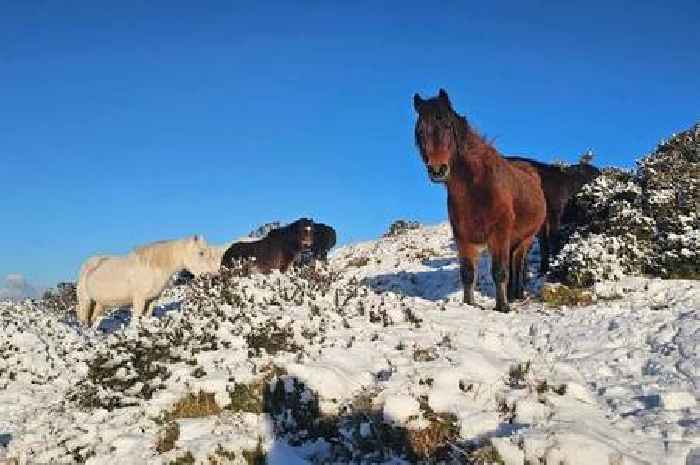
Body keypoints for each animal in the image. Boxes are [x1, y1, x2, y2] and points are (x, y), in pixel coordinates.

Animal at [76, 234, 219, 324]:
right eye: (201, 253)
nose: (213, 275)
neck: (153, 267)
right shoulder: (139, 299)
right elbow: (135, 320)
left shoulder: (152, 300)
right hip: (86, 301)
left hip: (99, 304)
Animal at [412, 88, 548, 310]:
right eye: (420, 131)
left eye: (447, 125)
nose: (437, 170)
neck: (476, 188)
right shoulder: (462, 237)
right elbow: (468, 274)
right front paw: (470, 305)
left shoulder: (498, 235)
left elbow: (499, 271)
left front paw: (502, 308)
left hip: (525, 239)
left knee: (518, 263)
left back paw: (517, 294)